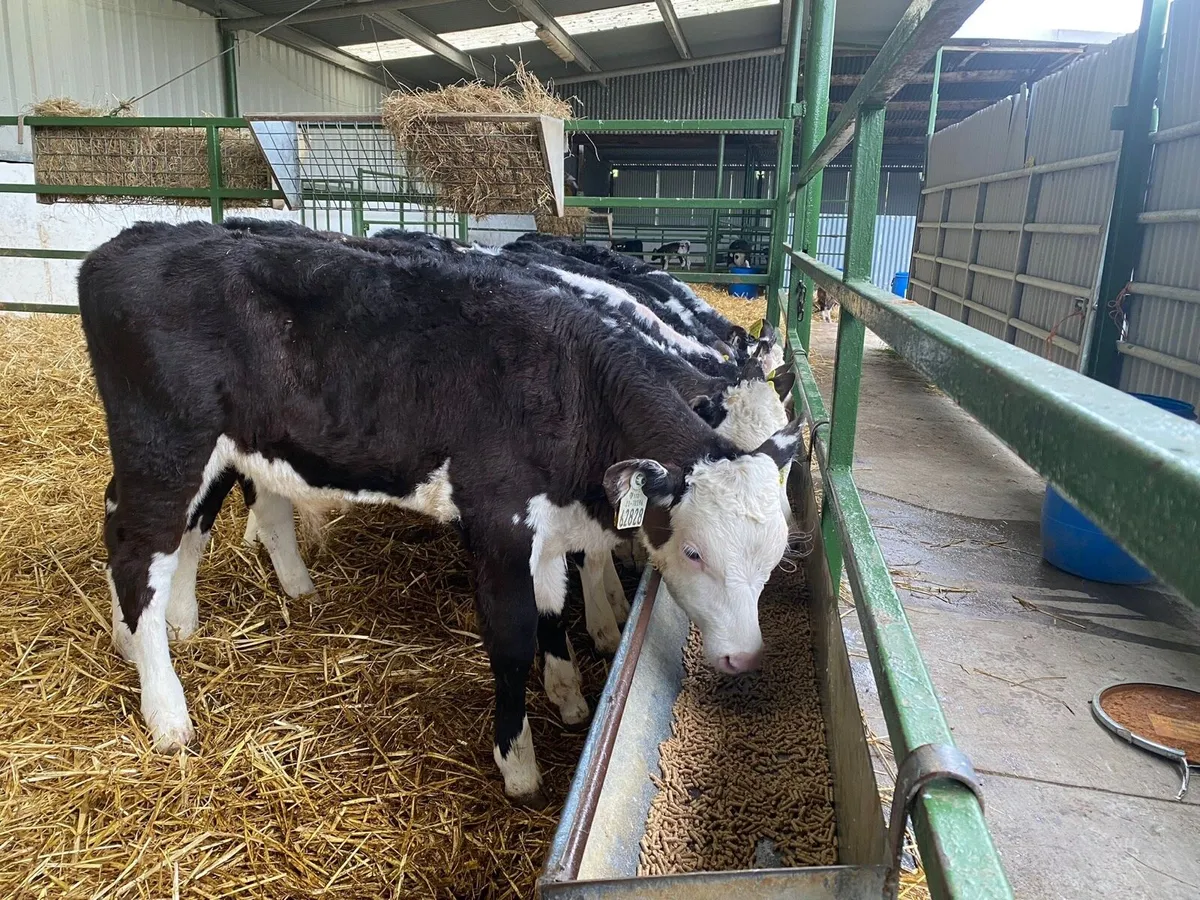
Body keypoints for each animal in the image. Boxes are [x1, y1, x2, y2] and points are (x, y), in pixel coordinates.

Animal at [79, 221, 802, 806]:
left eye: (772, 558)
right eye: (693, 552)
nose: (744, 657)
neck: (570, 384)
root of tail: (132, 240)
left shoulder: (544, 527)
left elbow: (551, 605)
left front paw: (567, 692)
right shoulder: (498, 521)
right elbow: (512, 639)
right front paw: (518, 763)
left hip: (219, 449)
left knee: (162, 523)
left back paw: (178, 622)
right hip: (166, 445)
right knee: (138, 549)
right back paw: (166, 708)